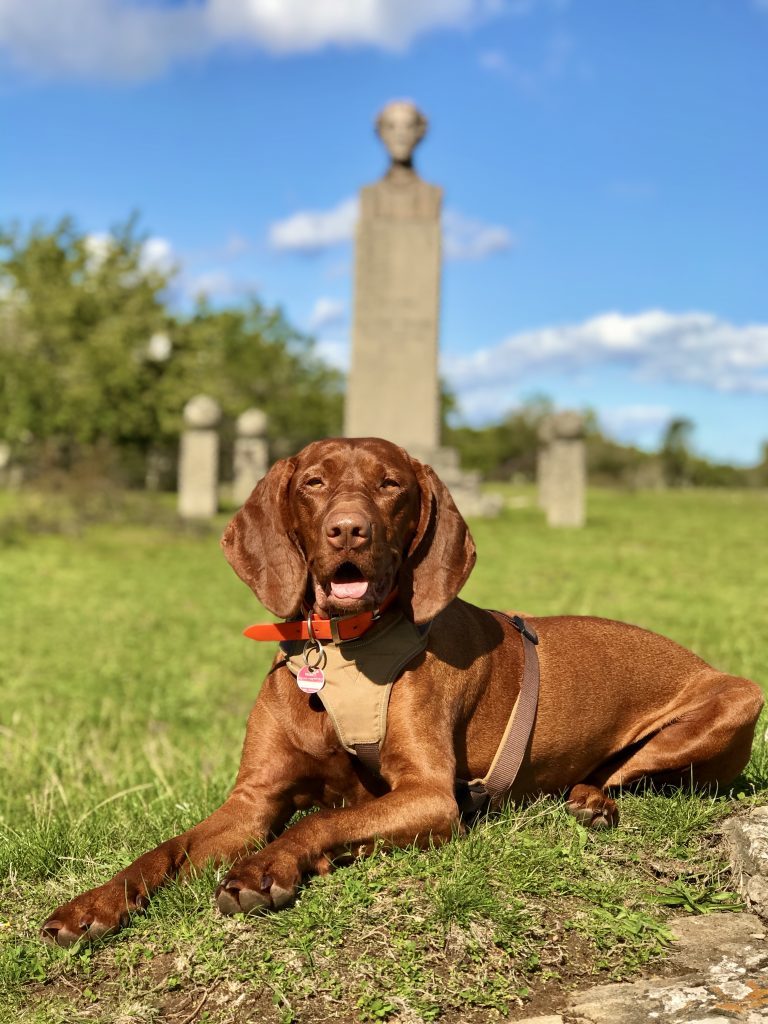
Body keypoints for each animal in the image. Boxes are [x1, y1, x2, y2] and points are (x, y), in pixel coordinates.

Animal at [40, 432, 765, 942]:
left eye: (390, 485)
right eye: (314, 482)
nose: (348, 529)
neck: (342, 649)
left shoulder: (429, 795)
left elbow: (324, 819)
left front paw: (267, 868)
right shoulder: (252, 802)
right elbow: (161, 851)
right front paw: (90, 906)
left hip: (736, 697)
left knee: (627, 773)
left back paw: (594, 802)